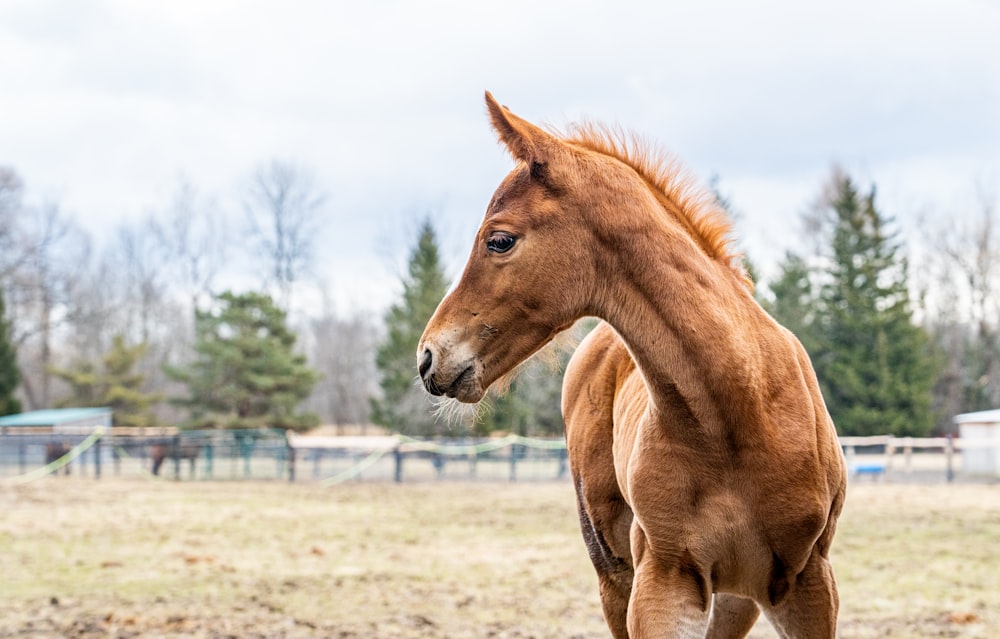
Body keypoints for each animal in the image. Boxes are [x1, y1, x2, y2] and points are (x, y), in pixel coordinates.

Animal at [418, 92, 848, 636]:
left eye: (499, 240)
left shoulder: (810, 583)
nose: (428, 356)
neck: (739, 414)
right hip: (614, 573)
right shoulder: (664, 580)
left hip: (738, 598)